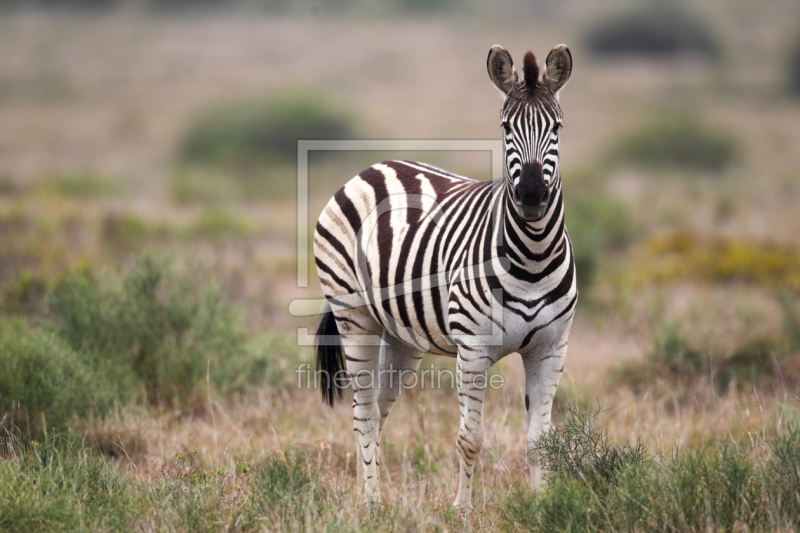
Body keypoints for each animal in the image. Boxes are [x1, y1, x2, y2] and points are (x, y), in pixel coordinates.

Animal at [310, 44, 576, 508]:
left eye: (557, 127)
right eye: (505, 126)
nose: (530, 196)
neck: (533, 258)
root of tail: (374, 166)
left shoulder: (551, 348)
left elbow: (538, 442)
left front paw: (544, 506)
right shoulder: (473, 348)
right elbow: (470, 438)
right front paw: (463, 509)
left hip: (399, 335)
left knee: (377, 411)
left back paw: (372, 496)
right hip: (353, 314)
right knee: (363, 412)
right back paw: (371, 502)